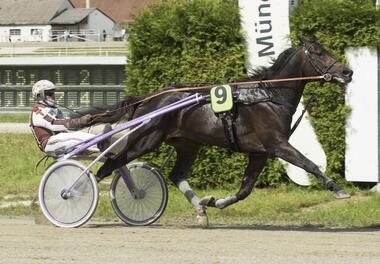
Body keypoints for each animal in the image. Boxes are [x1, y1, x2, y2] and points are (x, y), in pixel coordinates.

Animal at [87, 39, 354, 225]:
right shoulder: (277, 145)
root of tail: (146, 99)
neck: (268, 96)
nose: (347, 72)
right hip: (145, 140)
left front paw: (214, 201)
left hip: (187, 145)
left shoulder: (260, 153)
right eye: (319, 53)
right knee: (108, 166)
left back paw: (200, 210)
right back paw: (79, 196)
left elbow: (245, 190)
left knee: (176, 174)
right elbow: (309, 164)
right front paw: (338, 189)